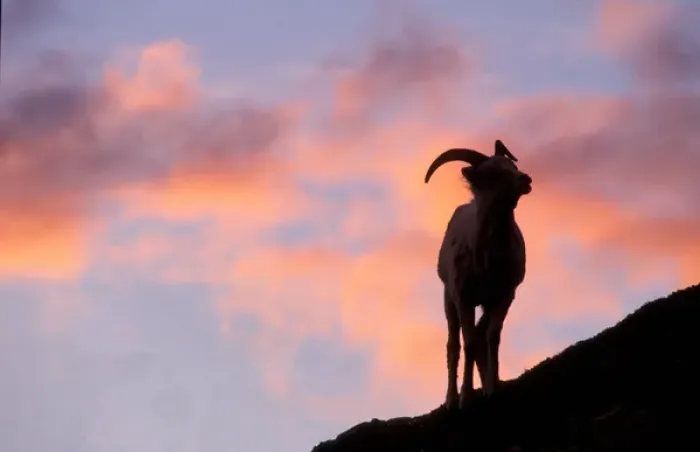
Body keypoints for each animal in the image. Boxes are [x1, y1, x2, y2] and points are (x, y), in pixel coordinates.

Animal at [424, 139, 532, 410]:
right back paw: (452, 399)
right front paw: (465, 398)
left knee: (481, 334)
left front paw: (493, 389)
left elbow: (491, 336)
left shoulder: (503, 296)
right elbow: (469, 342)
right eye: (492, 174)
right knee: (454, 344)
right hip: (449, 299)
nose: (525, 179)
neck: (487, 261)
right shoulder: (464, 297)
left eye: (512, 166)